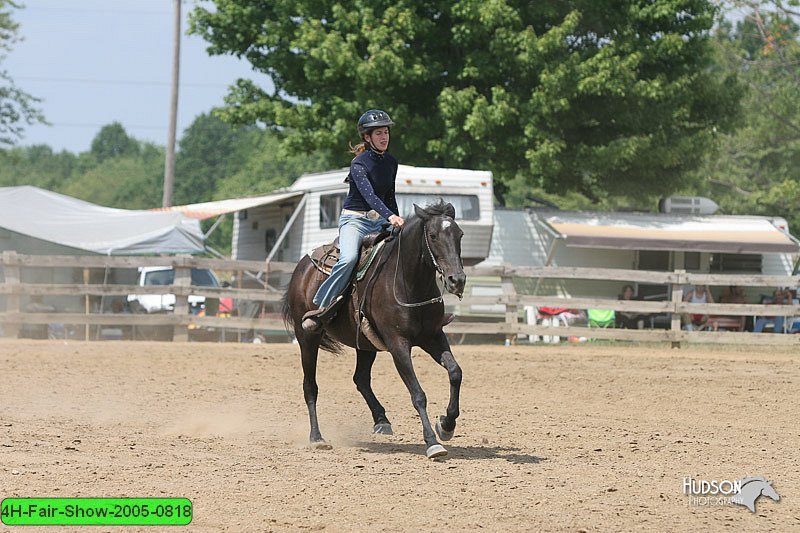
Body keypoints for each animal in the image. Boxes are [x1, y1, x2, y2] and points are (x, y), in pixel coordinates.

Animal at [282, 200, 466, 458]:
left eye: (460, 234)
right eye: (433, 235)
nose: (457, 280)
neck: (408, 282)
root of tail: (302, 268)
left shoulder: (433, 336)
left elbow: (455, 372)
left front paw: (446, 425)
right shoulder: (398, 344)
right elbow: (418, 394)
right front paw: (432, 442)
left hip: (365, 344)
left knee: (360, 379)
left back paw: (382, 420)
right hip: (307, 338)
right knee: (310, 387)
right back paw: (317, 438)